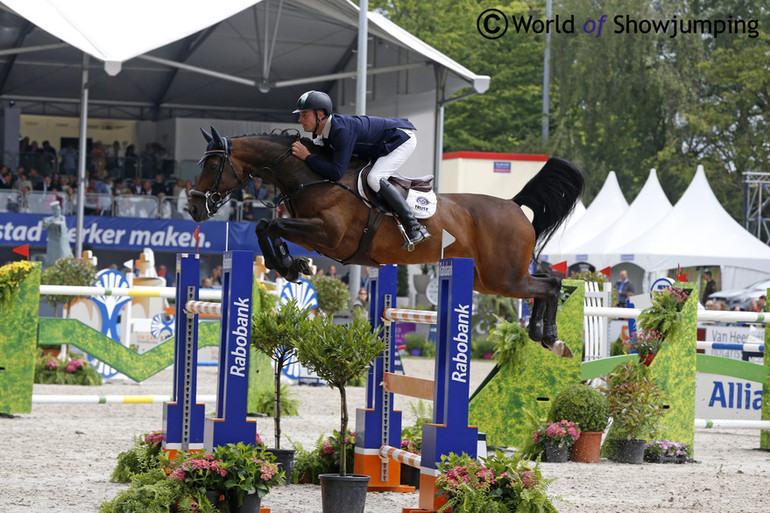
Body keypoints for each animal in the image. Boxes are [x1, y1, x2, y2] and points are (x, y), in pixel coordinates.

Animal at [188, 127, 584, 356]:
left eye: (213, 165)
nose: (193, 207)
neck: (312, 176)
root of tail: (514, 205)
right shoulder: (315, 235)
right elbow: (265, 226)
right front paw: (288, 264)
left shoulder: (328, 236)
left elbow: (271, 225)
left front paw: (288, 264)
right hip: (487, 279)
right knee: (544, 282)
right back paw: (540, 333)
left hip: (503, 276)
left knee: (551, 283)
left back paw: (550, 336)